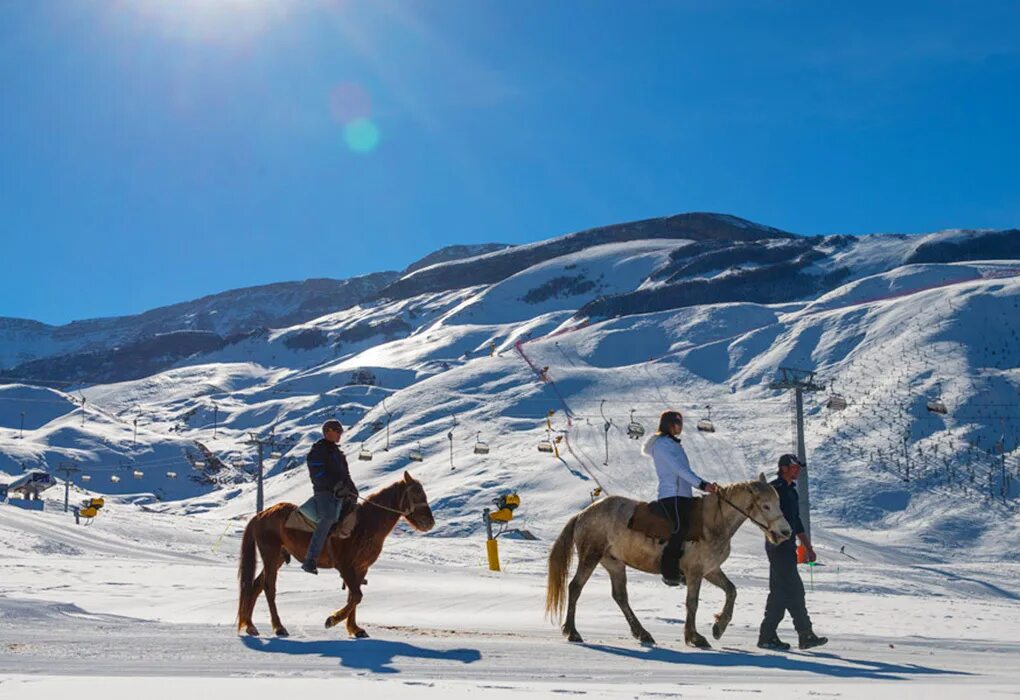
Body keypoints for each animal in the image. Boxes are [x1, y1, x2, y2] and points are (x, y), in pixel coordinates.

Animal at [234, 471, 434, 640]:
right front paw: (333, 619)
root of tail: (261, 514)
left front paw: (355, 629)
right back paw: (278, 627)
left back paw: (250, 626)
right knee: (269, 588)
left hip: (278, 558)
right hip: (270, 554)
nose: (429, 522)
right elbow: (356, 595)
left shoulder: (360, 568)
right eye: (415, 494)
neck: (365, 524)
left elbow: (353, 596)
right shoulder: (345, 566)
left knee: (256, 586)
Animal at [550, 479, 787, 648]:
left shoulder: (711, 570)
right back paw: (572, 632)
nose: (785, 532)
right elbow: (692, 603)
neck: (713, 523)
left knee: (620, 597)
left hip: (614, 564)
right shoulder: (695, 573)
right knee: (575, 587)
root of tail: (582, 514)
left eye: (778, 503)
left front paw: (719, 627)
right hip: (590, 557)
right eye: (766, 506)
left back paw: (643, 634)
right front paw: (694, 637)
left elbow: (731, 591)